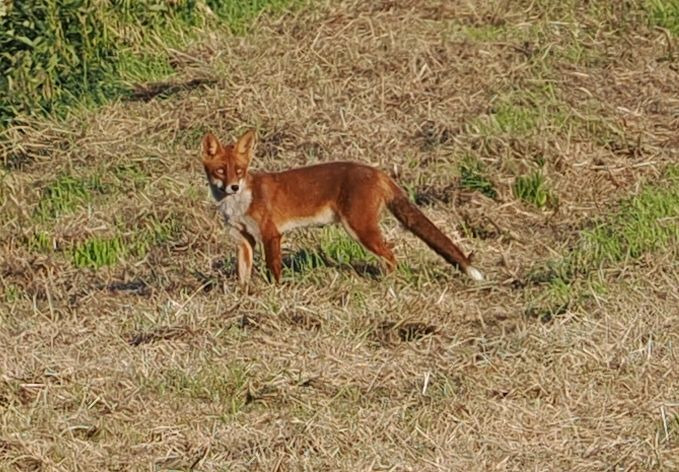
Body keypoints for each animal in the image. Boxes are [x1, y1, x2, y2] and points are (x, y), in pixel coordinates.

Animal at [201, 129, 484, 285]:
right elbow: (242, 275)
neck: (238, 205)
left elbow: (274, 270)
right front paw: (244, 299)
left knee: (391, 256)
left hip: (359, 229)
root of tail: (377, 171)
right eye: (220, 171)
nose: (233, 187)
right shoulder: (243, 240)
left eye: (239, 171)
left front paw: (276, 294)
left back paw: (387, 285)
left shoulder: (272, 234)